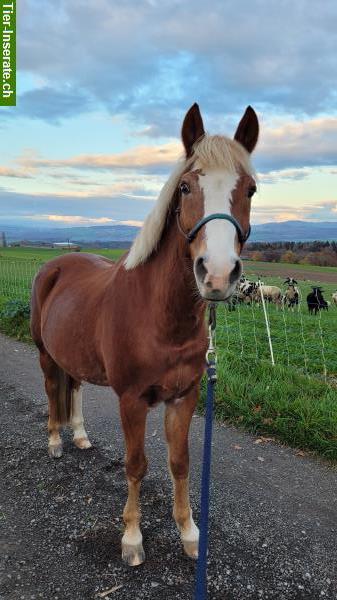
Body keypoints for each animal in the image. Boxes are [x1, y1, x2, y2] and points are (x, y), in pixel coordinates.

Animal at [30, 104, 258, 568]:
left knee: (73, 386)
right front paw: (132, 539)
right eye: (185, 187)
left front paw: (190, 533)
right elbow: (136, 465)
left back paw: (79, 435)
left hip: (73, 354)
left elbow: (180, 463)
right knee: (51, 389)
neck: (160, 319)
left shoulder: (184, 397)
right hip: (46, 354)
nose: (218, 274)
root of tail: (56, 264)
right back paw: (56, 440)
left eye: (251, 190)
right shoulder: (132, 400)